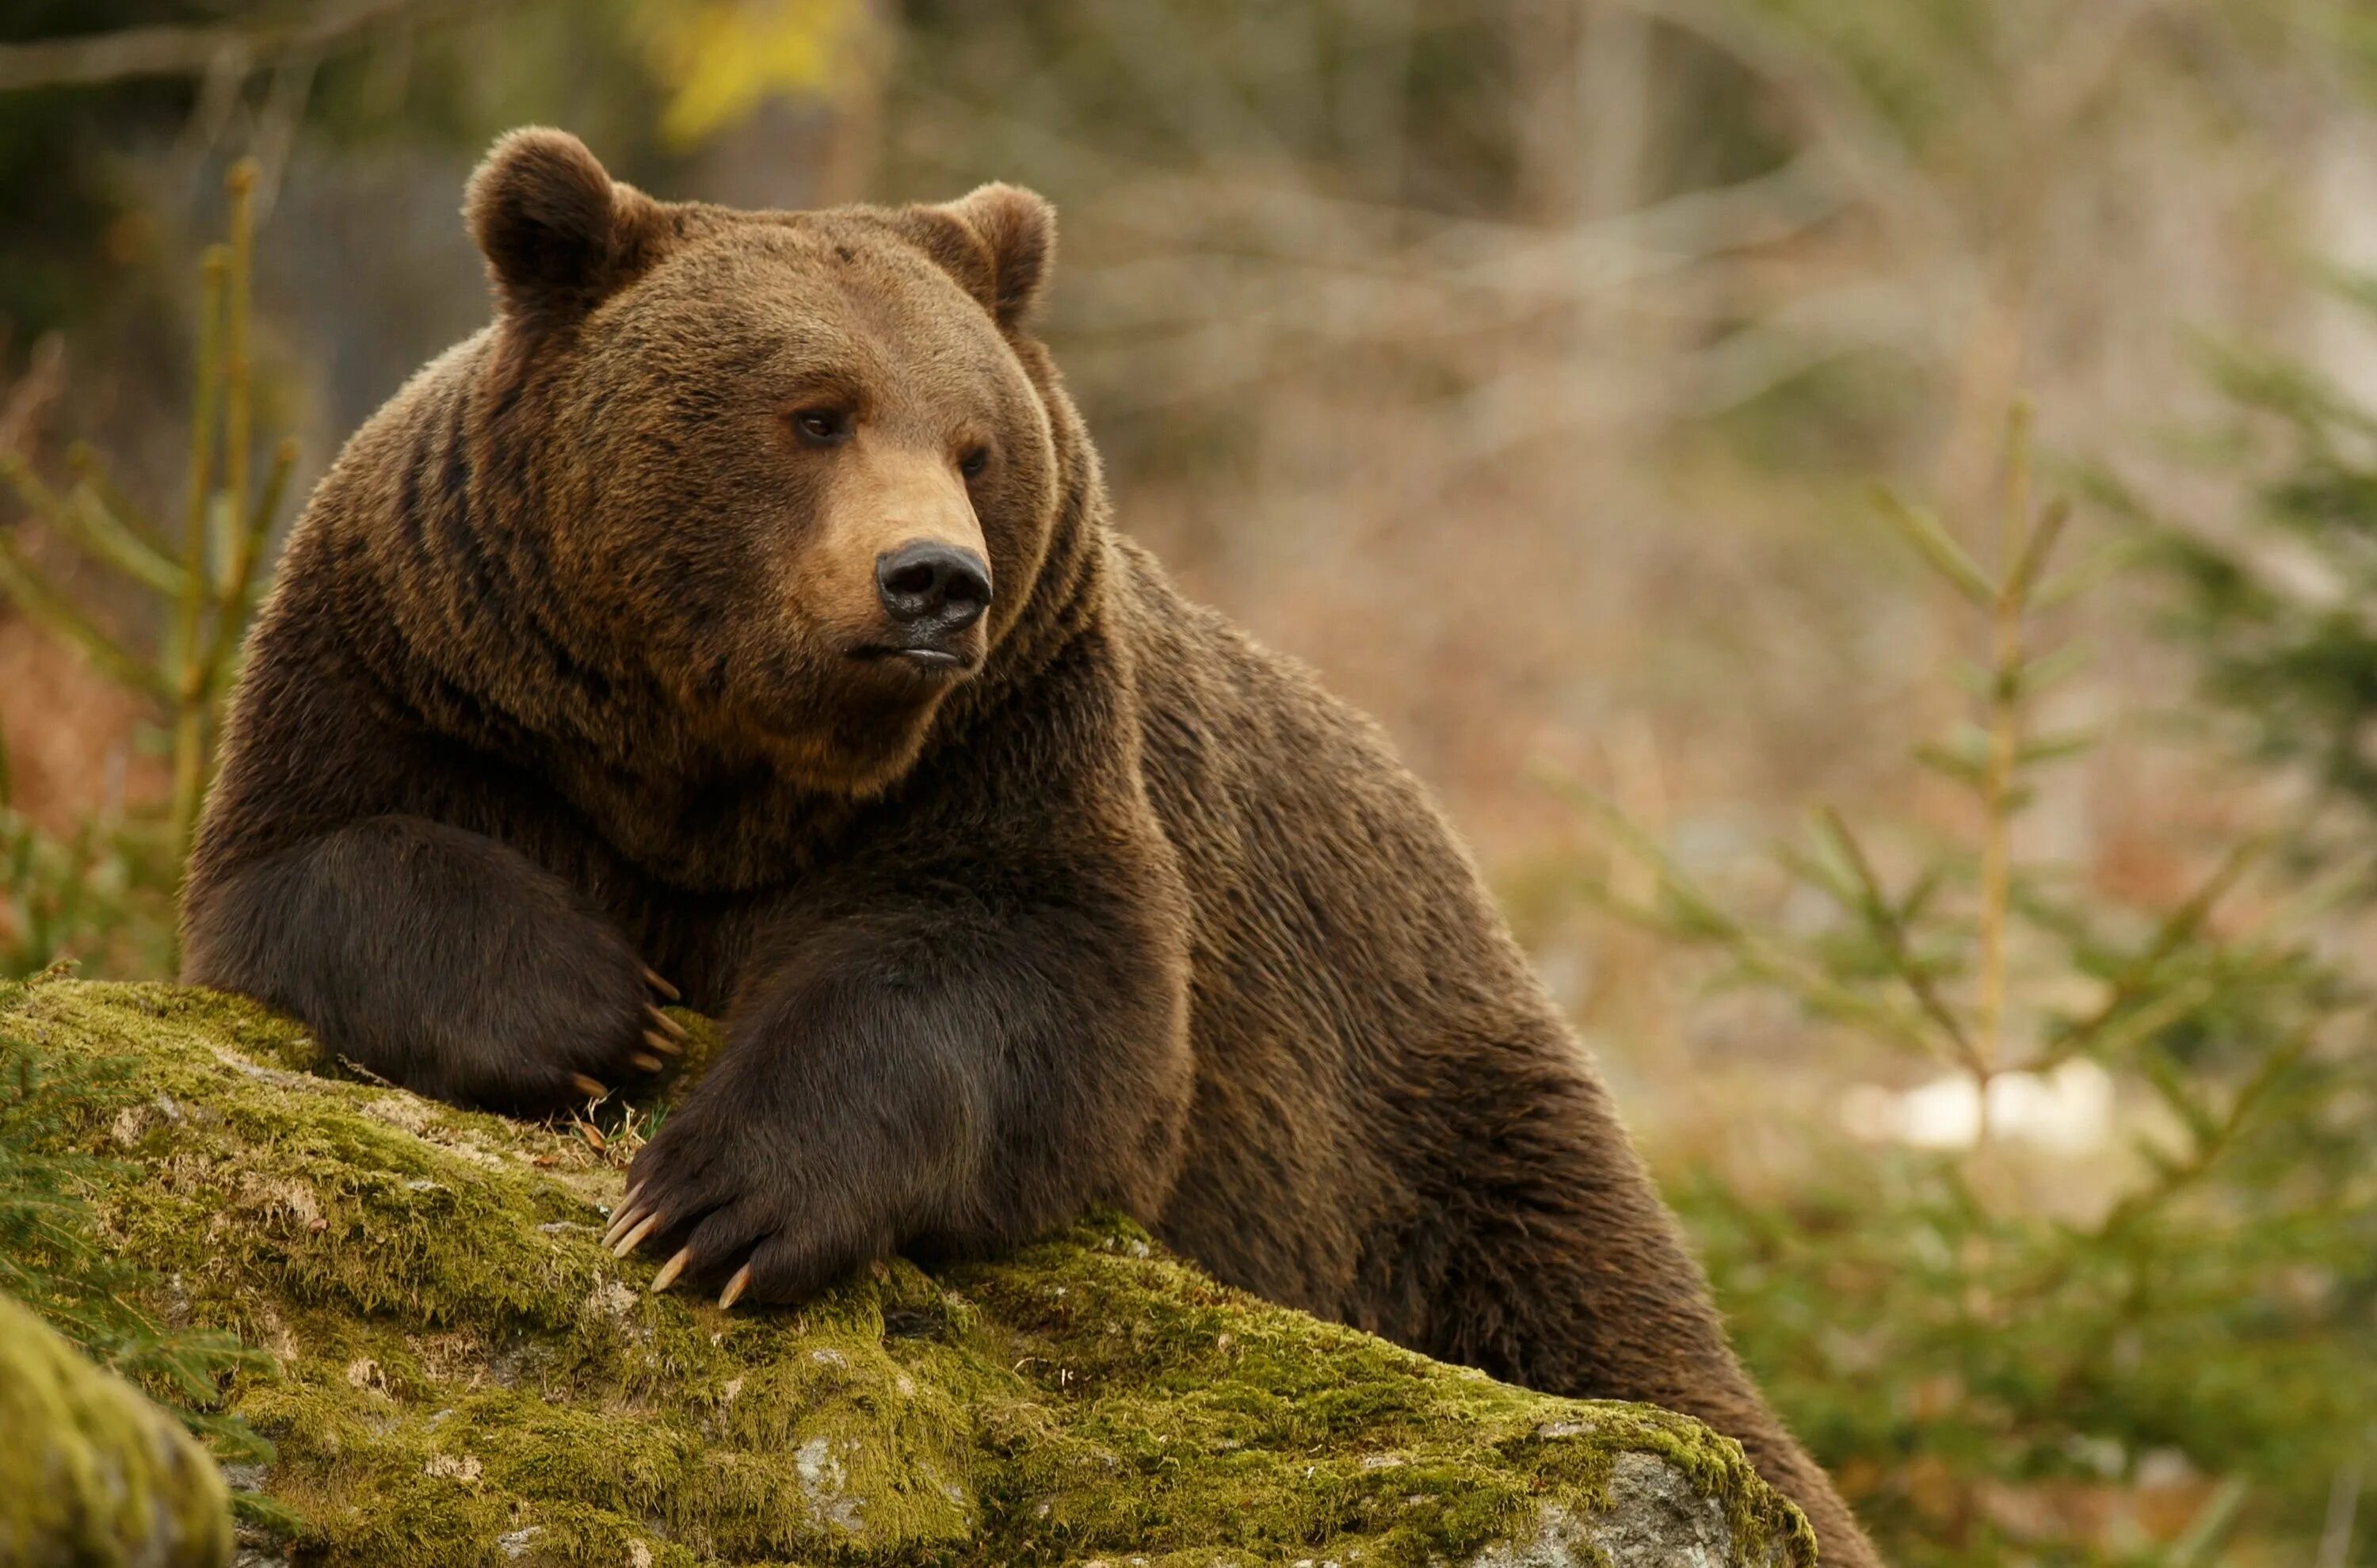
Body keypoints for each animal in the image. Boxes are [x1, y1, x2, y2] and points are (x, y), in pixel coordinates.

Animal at [181, 128, 1873, 1558]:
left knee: (1611, 1317)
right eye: (813, 412)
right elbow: (316, 856)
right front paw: (596, 1006)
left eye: (978, 440)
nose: (933, 580)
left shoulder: (1015, 746)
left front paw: (716, 1196)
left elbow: (1032, 988)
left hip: (1418, 1109)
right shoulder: (432, 661)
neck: (721, 759)